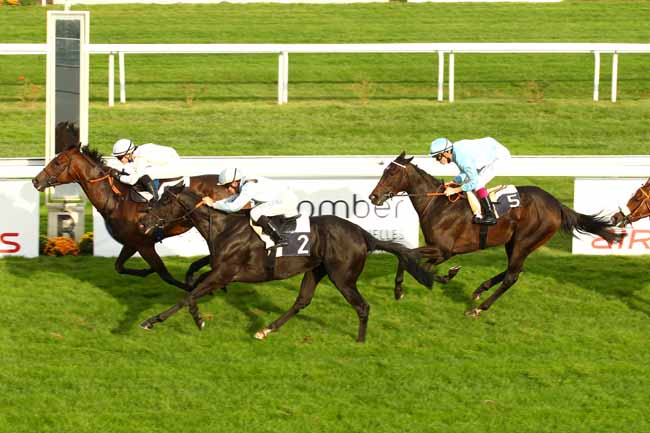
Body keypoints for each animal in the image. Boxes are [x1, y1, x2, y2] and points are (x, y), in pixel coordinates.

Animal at [31, 144, 224, 290]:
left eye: (58, 162)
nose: (35, 181)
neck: (116, 201)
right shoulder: (132, 243)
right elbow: (119, 267)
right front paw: (146, 272)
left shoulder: (145, 244)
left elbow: (165, 274)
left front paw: (192, 286)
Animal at [134, 184, 432, 342]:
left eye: (163, 202)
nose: (142, 222)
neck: (222, 226)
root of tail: (363, 234)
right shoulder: (219, 269)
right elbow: (193, 282)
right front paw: (196, 314)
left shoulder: (225, 272)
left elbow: (189, 295)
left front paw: (152, 320)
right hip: (316, 270)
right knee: (302, 301)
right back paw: (266, 329)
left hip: (343, 277)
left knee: (362, 306)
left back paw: (359, 342)